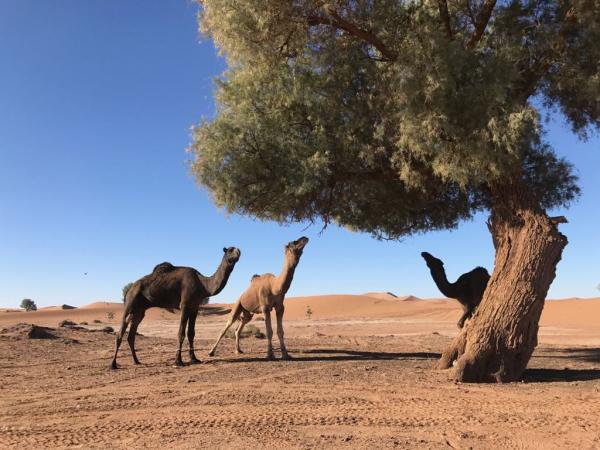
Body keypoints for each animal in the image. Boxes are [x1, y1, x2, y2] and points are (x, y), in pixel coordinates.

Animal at [109, 246, 240, 370]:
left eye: (237, 250)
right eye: (229, 250)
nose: (238, 252)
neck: (203, 284)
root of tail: (129, 290)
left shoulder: (195, 307)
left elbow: (191, 333)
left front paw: (194, 359)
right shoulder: (185, 305)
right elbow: (181, 333)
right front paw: (178, 361)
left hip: (139, 311)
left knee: (131, 336)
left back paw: (136, 361)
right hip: (130, 303)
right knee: (120, 334)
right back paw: (113, 364)